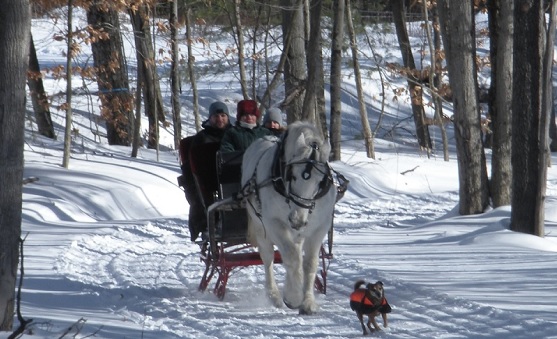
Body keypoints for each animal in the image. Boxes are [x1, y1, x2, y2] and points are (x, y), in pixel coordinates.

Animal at [241, 121, 340, 314]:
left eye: (320, 180)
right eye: (292, 175)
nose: (297, 220)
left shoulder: (319, 228)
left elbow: (309, 264)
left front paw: (308, 302)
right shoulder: (274, 224)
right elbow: (292, 257)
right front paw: (293, 297)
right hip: (260, 226)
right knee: (268, 257)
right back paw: (274, 295)